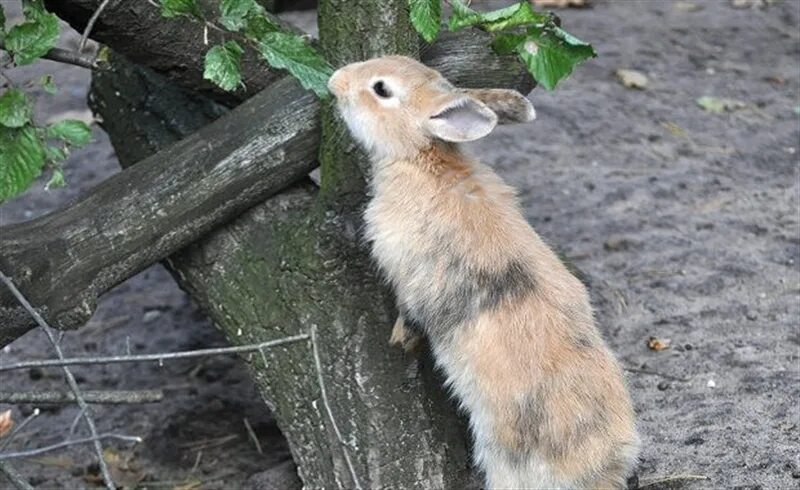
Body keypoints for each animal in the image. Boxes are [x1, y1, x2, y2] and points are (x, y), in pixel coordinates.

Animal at [328, 55, 640, 488]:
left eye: (381, 89)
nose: (334, 81)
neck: (422, 158)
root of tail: (602, 470)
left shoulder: (405, 271)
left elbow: (409, 309)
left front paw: (399, 338)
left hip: (506, 455)